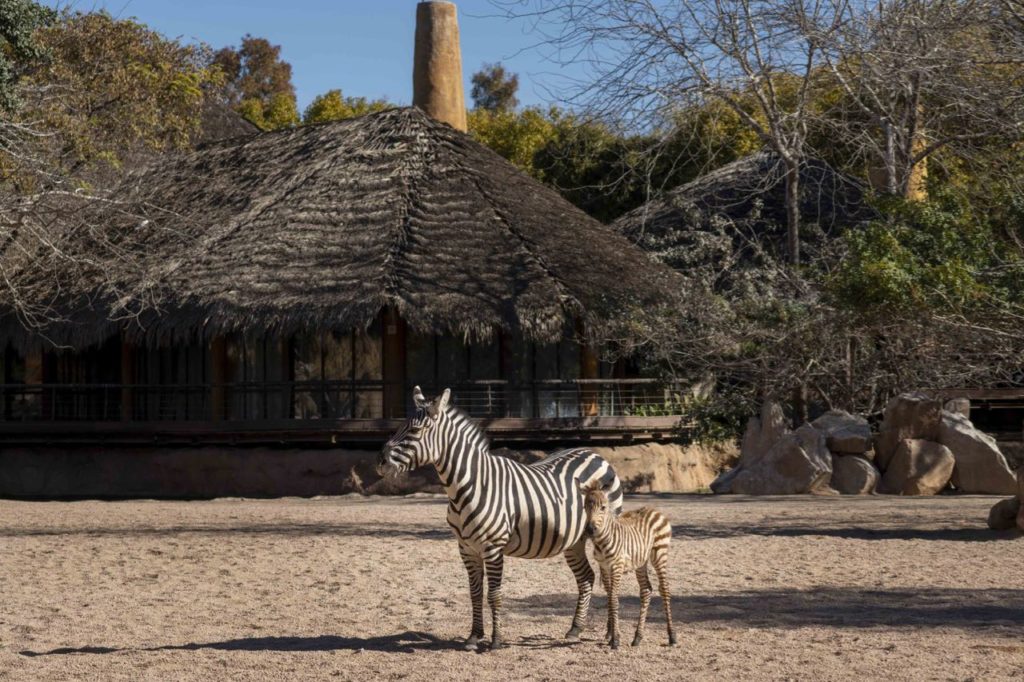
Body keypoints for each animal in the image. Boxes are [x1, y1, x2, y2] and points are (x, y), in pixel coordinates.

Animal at [378, 385, 622, 647]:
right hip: (574, 539)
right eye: (400, 426)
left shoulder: (493, 546)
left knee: (609, 579)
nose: (380, 463)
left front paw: (495, 640)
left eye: (414, 430)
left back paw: (611, 634)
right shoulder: (466, 548)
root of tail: (595, 454)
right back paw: (576, 629)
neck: (469, 485)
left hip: (605, 534)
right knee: (586, 577)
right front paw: (474, 636)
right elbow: (475, 593)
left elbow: (494, 594)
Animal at [585, 485, 671, 647]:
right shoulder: (603, 566)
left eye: (603, 507)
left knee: (664, 589)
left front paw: (615, 639)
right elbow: (609, 597)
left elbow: (613, 598)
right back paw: (637, 637)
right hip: (641, 561)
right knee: (646, 590)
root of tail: (653, 509)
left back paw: (672, 636)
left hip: (660, 553)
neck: (603, 541)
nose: (590, 530)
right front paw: (611, 633)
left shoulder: (617, 565)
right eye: (585, 507)